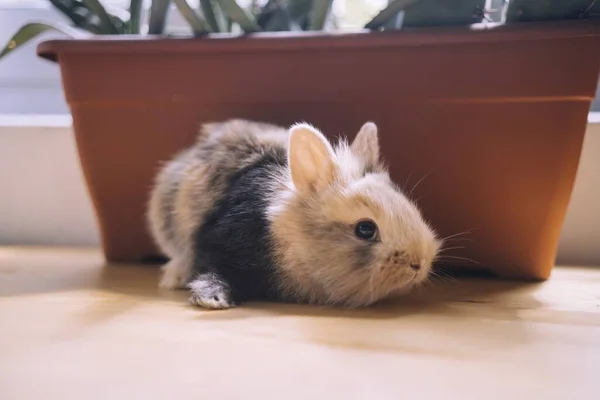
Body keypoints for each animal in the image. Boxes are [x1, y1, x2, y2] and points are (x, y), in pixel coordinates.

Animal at [149, 119, 440, 310]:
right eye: (365, 229)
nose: (419, 263)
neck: (292, 242)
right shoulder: (218, 244)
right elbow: (213, 272)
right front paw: (213, 300)